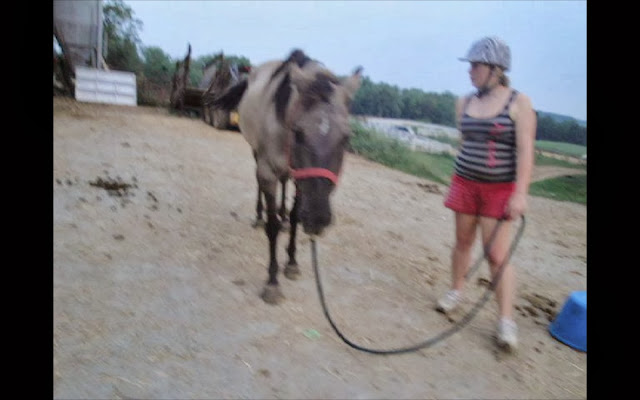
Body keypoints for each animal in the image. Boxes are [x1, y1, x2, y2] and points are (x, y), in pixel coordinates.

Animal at [210, 49, 362, 304]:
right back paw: (259, 216)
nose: (318, 219)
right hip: (257, 154)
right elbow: (271, 227)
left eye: (346, 138)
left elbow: (294, 218)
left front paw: (291, 262)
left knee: (284, 188)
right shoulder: (268, 171)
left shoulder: (301, 179)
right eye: (298, 133)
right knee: (260, 184)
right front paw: (272, 282)